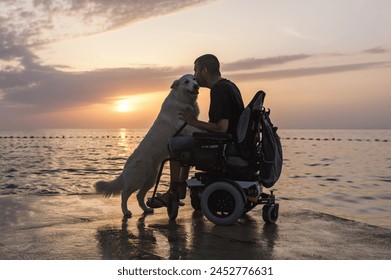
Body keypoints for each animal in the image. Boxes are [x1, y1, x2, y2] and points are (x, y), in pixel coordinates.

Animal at [94, 74, 199, 217]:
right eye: (186, 81)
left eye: (194, 79)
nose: (196, 86)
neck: (182, 100)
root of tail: (125, 167)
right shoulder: (185, 125)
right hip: (138, 179)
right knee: (124, 194)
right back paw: (126, 211)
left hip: (151, 179)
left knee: (139, 196)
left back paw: (146, 209)